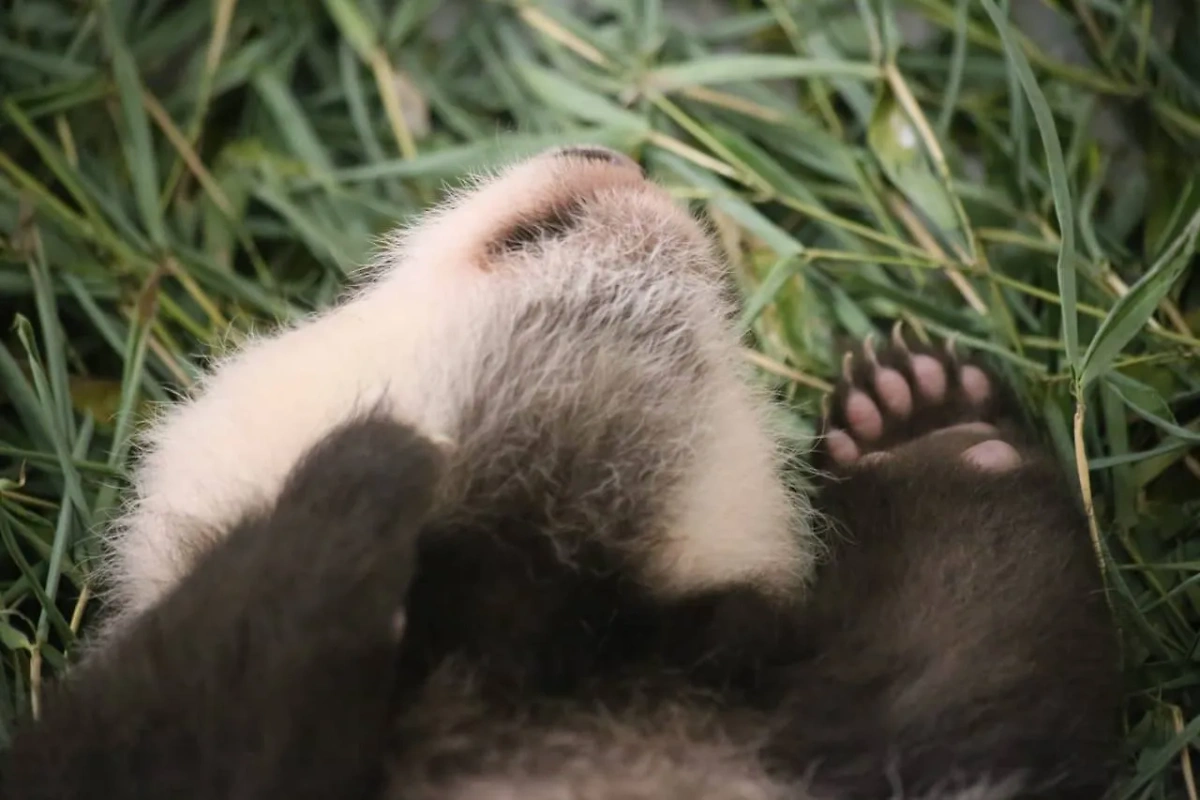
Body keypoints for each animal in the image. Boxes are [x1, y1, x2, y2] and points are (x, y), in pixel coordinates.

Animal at [4, 146, 1118, 796]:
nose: (606, 148)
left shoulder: (799, 712)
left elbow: (975, 654)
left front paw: (931, 431)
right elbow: (190, 708)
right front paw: (359, 473)